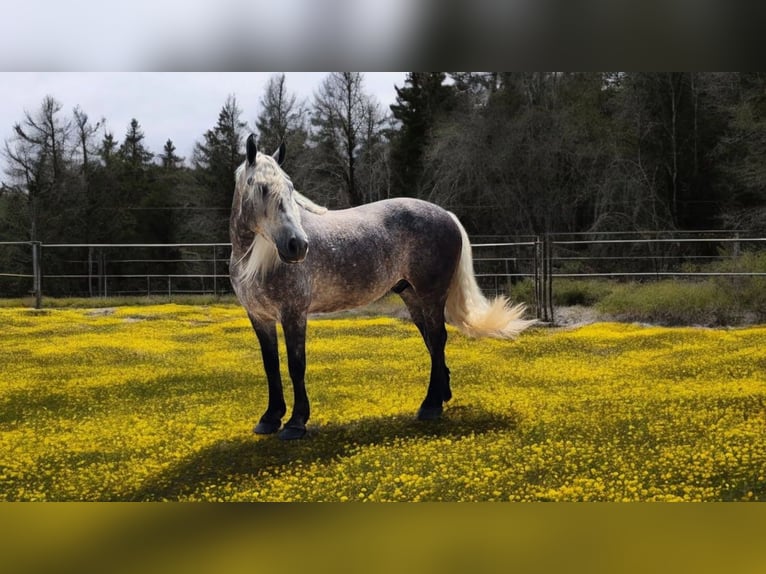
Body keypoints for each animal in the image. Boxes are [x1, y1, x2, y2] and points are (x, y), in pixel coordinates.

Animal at [229, 134, 535, 440]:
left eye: (291, 188)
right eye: (261, 188)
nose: (298, 245)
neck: (254, 259)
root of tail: (446, 214)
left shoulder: (293, 314)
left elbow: (296, 364)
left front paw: (295, 423)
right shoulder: (259, 317)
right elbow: (271, 365)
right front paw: (270, 418)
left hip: (431, 295)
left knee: (438, 339)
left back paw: (430, 407)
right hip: (412, 296)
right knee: (432, 342)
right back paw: (441, 397)